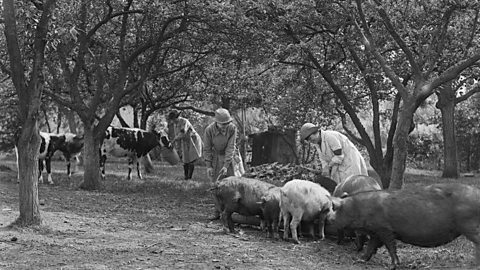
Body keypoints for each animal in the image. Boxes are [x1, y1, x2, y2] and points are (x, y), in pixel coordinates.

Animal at [328, 182, 480, 268]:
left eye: (333, 209)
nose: (327, 219)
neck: (357, 208)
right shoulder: (376, 232)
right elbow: (371, 247)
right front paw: (360, 260)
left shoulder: (385, 229)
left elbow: (390, 246)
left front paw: (394, 265)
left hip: (470, 225)